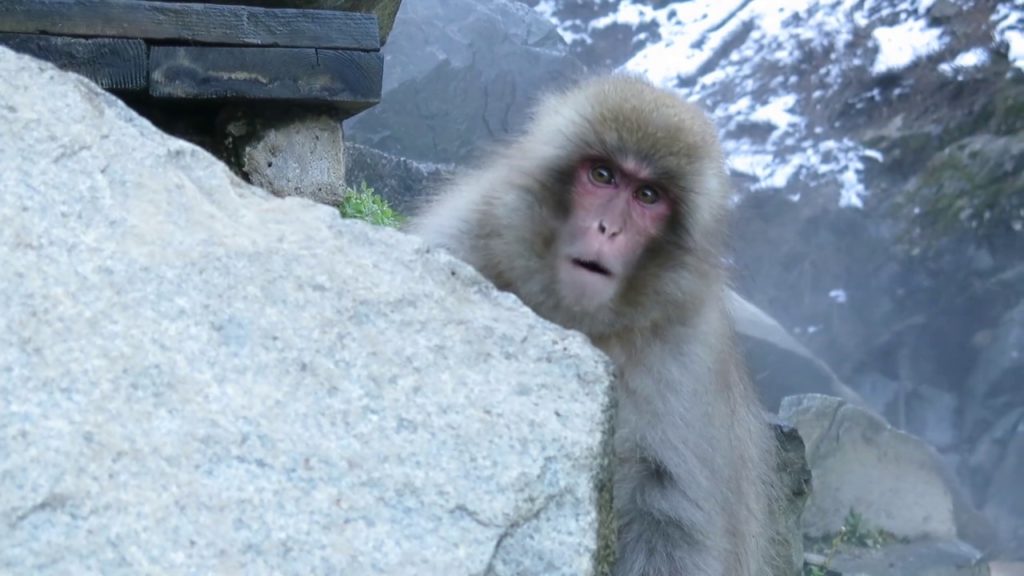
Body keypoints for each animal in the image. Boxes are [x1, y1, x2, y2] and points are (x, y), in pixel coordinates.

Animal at [409, 75, 778, 576]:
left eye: (648, 196)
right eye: (603, 175)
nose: (608, 229)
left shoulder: (686, 358)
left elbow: (671, 518)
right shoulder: (459, 242)